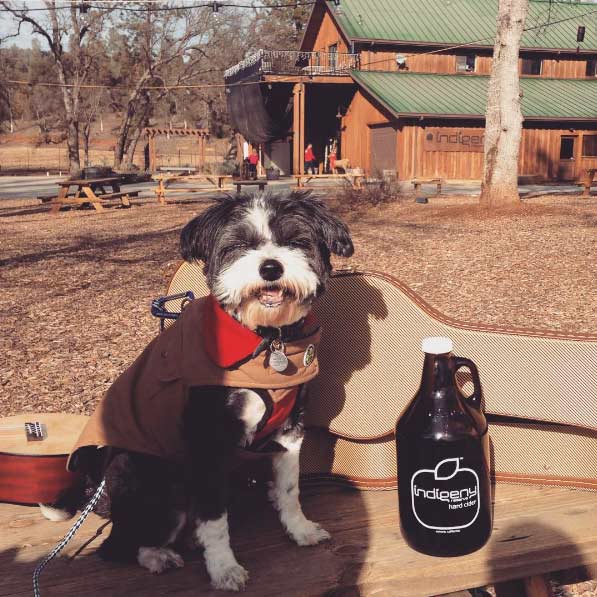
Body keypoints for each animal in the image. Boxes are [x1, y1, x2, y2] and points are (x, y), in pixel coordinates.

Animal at [44, 192, 354, 592]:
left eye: (296, 241)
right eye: (238, 245)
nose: (270, 268)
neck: (264, 339)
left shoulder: (289, 433)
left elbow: (289, 489)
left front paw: (299, 530)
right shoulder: (208, 445)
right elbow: (214, 519)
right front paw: (223, 567)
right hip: (162, 486)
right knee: (118, 546)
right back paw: (158, 555)